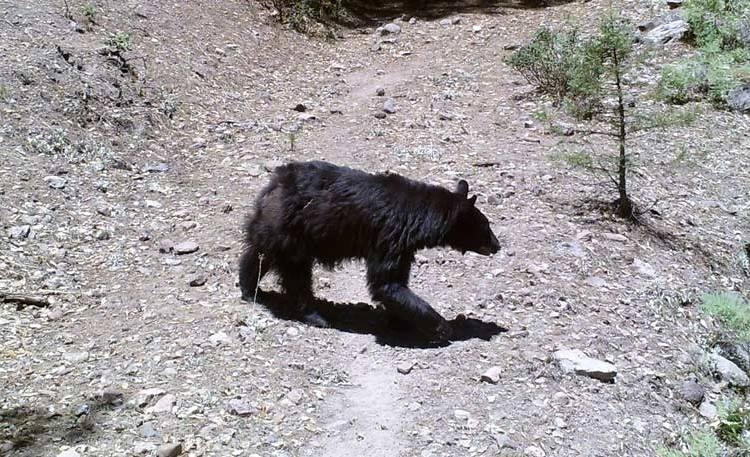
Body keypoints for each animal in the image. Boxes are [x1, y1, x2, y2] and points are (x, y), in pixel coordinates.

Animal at [238, 160, 500, 341]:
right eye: (486, 226)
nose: (498, 245)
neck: (417, 216)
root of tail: (274, 184)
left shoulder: (404, 246)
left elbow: (396, 284)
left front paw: (400, 321)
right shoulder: (390, 236)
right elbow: (386, 283)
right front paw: (441, 328)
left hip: (272, 228)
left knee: (257, 256)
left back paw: (250, 289)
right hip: (292, 231)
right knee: (296, 274)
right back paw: (315, 315)